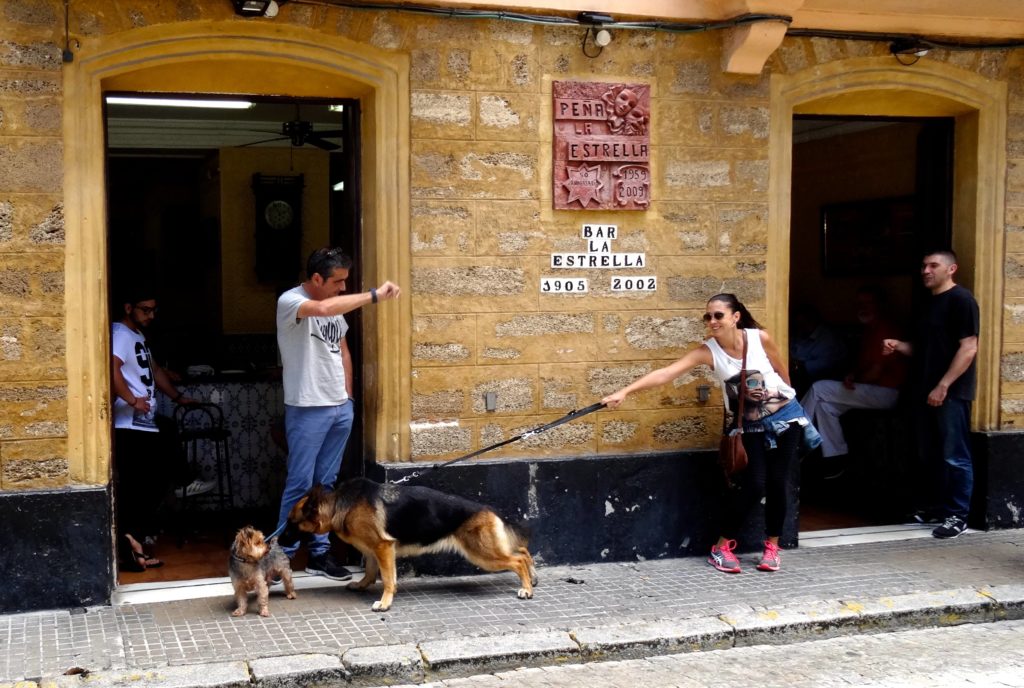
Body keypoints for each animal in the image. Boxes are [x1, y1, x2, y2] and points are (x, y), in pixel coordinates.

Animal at [288, 479, 540, 614]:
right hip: (487, 551)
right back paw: (533, 578)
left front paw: (385, 602)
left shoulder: (383, 548)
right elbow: (370, 571)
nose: (280, 538)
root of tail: (489, 509)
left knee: (518, 559)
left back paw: (526, 588)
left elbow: (388, 579)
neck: (340, 504)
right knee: (523, 551)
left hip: (482, 555)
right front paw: (362, 585)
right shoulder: (372, 549)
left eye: (292, 523)